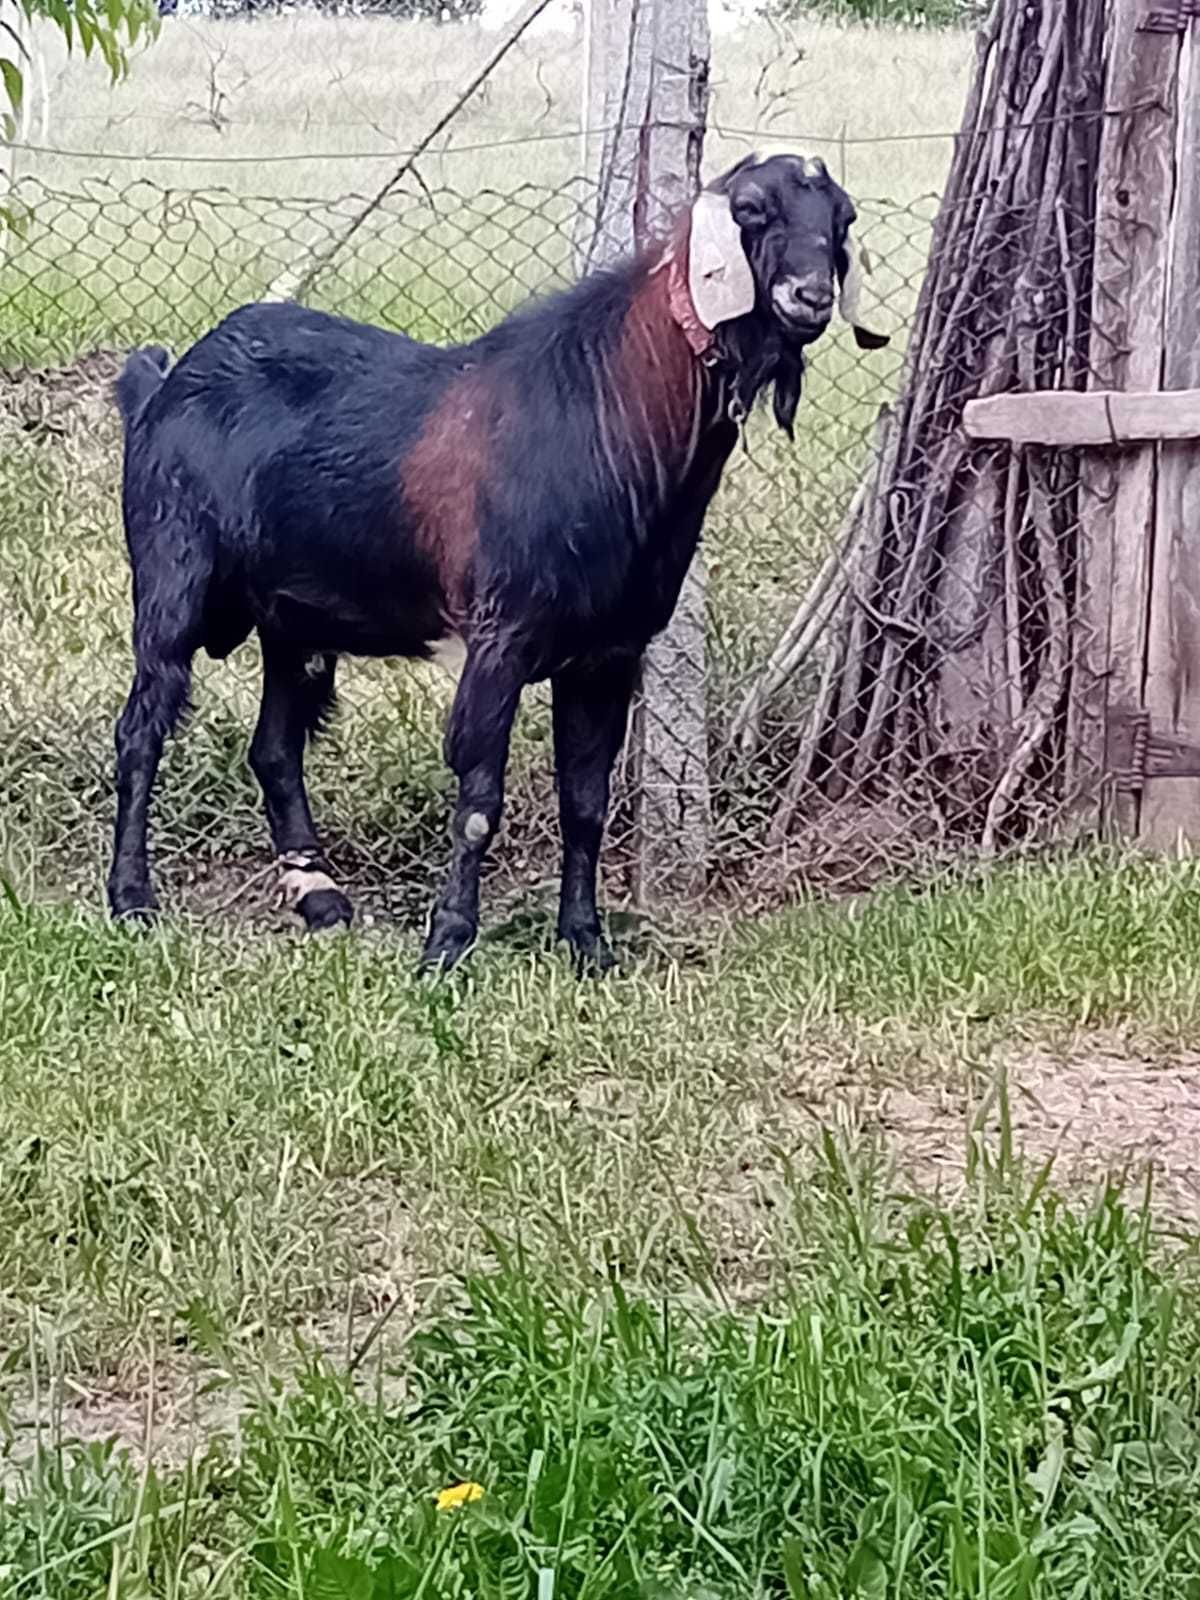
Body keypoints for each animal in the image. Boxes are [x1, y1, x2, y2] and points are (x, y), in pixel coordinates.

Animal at [108, 156, 889, 966]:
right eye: (752, 209)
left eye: (842, 219)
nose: (810, 297)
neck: (606, 409)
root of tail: (160, 386)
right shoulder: (501, 635)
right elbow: (480, 795)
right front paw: (448, 943)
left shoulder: (611, 653)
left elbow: (587, 804)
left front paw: (586, 943)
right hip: (173, 578)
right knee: (142, 727)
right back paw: (132, 899)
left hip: (297, 619)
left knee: (274, 749)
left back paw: (319, 897)